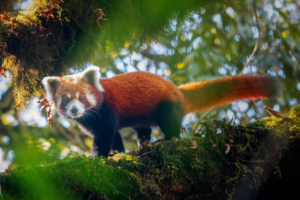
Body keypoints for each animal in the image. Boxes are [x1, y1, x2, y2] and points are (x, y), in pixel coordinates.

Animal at [42, 66, 282, 157]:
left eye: (82, 98)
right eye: (66, 99)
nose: (74, 109)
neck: (89, 115)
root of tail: (178, 91)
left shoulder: (107, 112)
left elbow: (106, 135)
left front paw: (99, 156)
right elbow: (115, 136)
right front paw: (116, 152)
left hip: (166, 105)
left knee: (171, 124)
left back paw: (166, 140)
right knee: (143, 128)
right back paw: (144, 142)